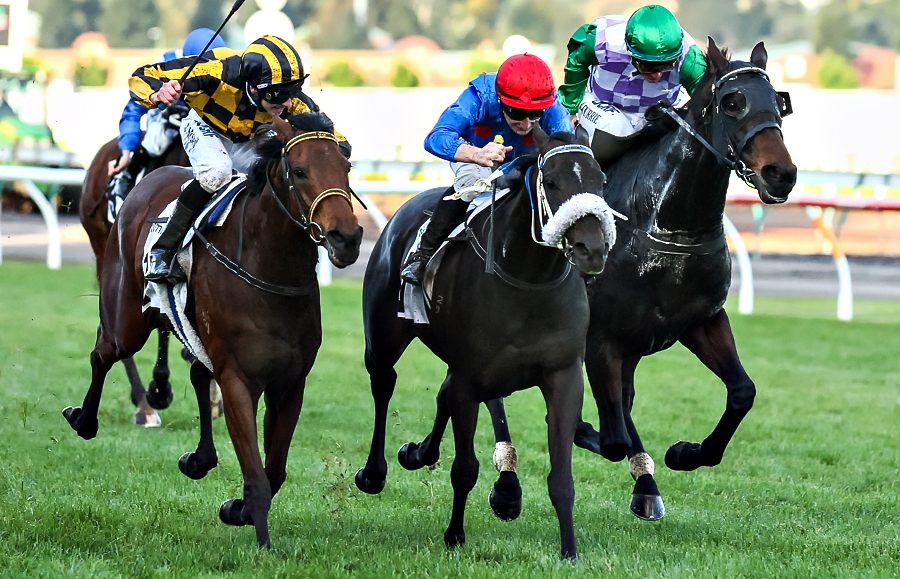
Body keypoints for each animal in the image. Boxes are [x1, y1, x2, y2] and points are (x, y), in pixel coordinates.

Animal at [354, 127, 616, 559]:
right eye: (552, 181)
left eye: (602, 181)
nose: (591, 249)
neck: (528, 279)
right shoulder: (471, 378)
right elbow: (465, 468)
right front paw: (454, 535)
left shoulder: (563, 377)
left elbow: (561, 477)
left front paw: (570, 550)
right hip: (383, 337)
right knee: (383, 382)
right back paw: (374, 473)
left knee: (440, 393)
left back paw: (419, 453)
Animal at [484, 38, 797, 522]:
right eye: (732, 101)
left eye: (779, 102)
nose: (781, 173)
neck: (666, 223)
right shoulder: (600, 339)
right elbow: (609, 435)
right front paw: (586, 432)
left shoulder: (700, 321)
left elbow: (742, 391)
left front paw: (685, 453)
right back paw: (507, 484)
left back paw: (645, 484)